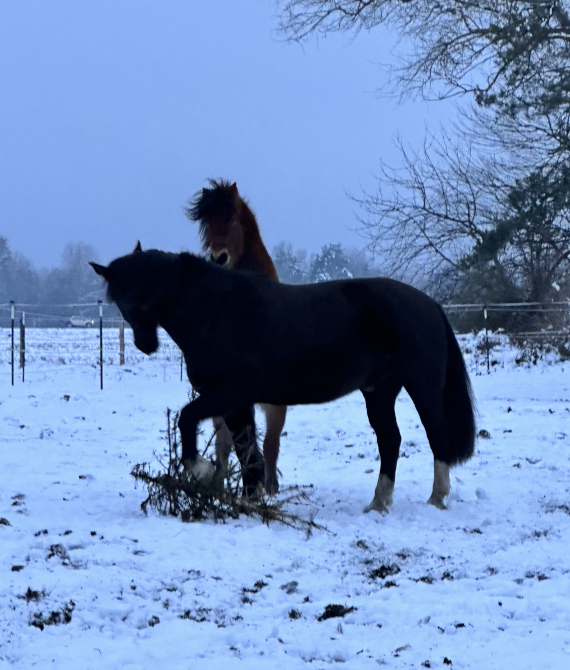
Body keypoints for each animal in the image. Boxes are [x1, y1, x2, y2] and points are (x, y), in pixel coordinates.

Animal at [91, 247, 474, 516]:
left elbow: (187, 419)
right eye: (121, 302)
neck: (216, 311)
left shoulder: (228, 393)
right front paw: (246, 502)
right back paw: (379, 503)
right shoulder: (236, 403)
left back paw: (436, 497)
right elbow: (249, 454)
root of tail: (430, 304)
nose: (145, 344)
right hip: (378, 393)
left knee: (437, 433)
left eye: (143, 297)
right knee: (390, 440)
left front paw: (201, 472)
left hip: (422, 386)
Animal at [184, 181, 284, 496]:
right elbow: (233, 446)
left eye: (231, 219)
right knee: (225, 446)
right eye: (206, 223)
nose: (219, 258)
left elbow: (267, 445)